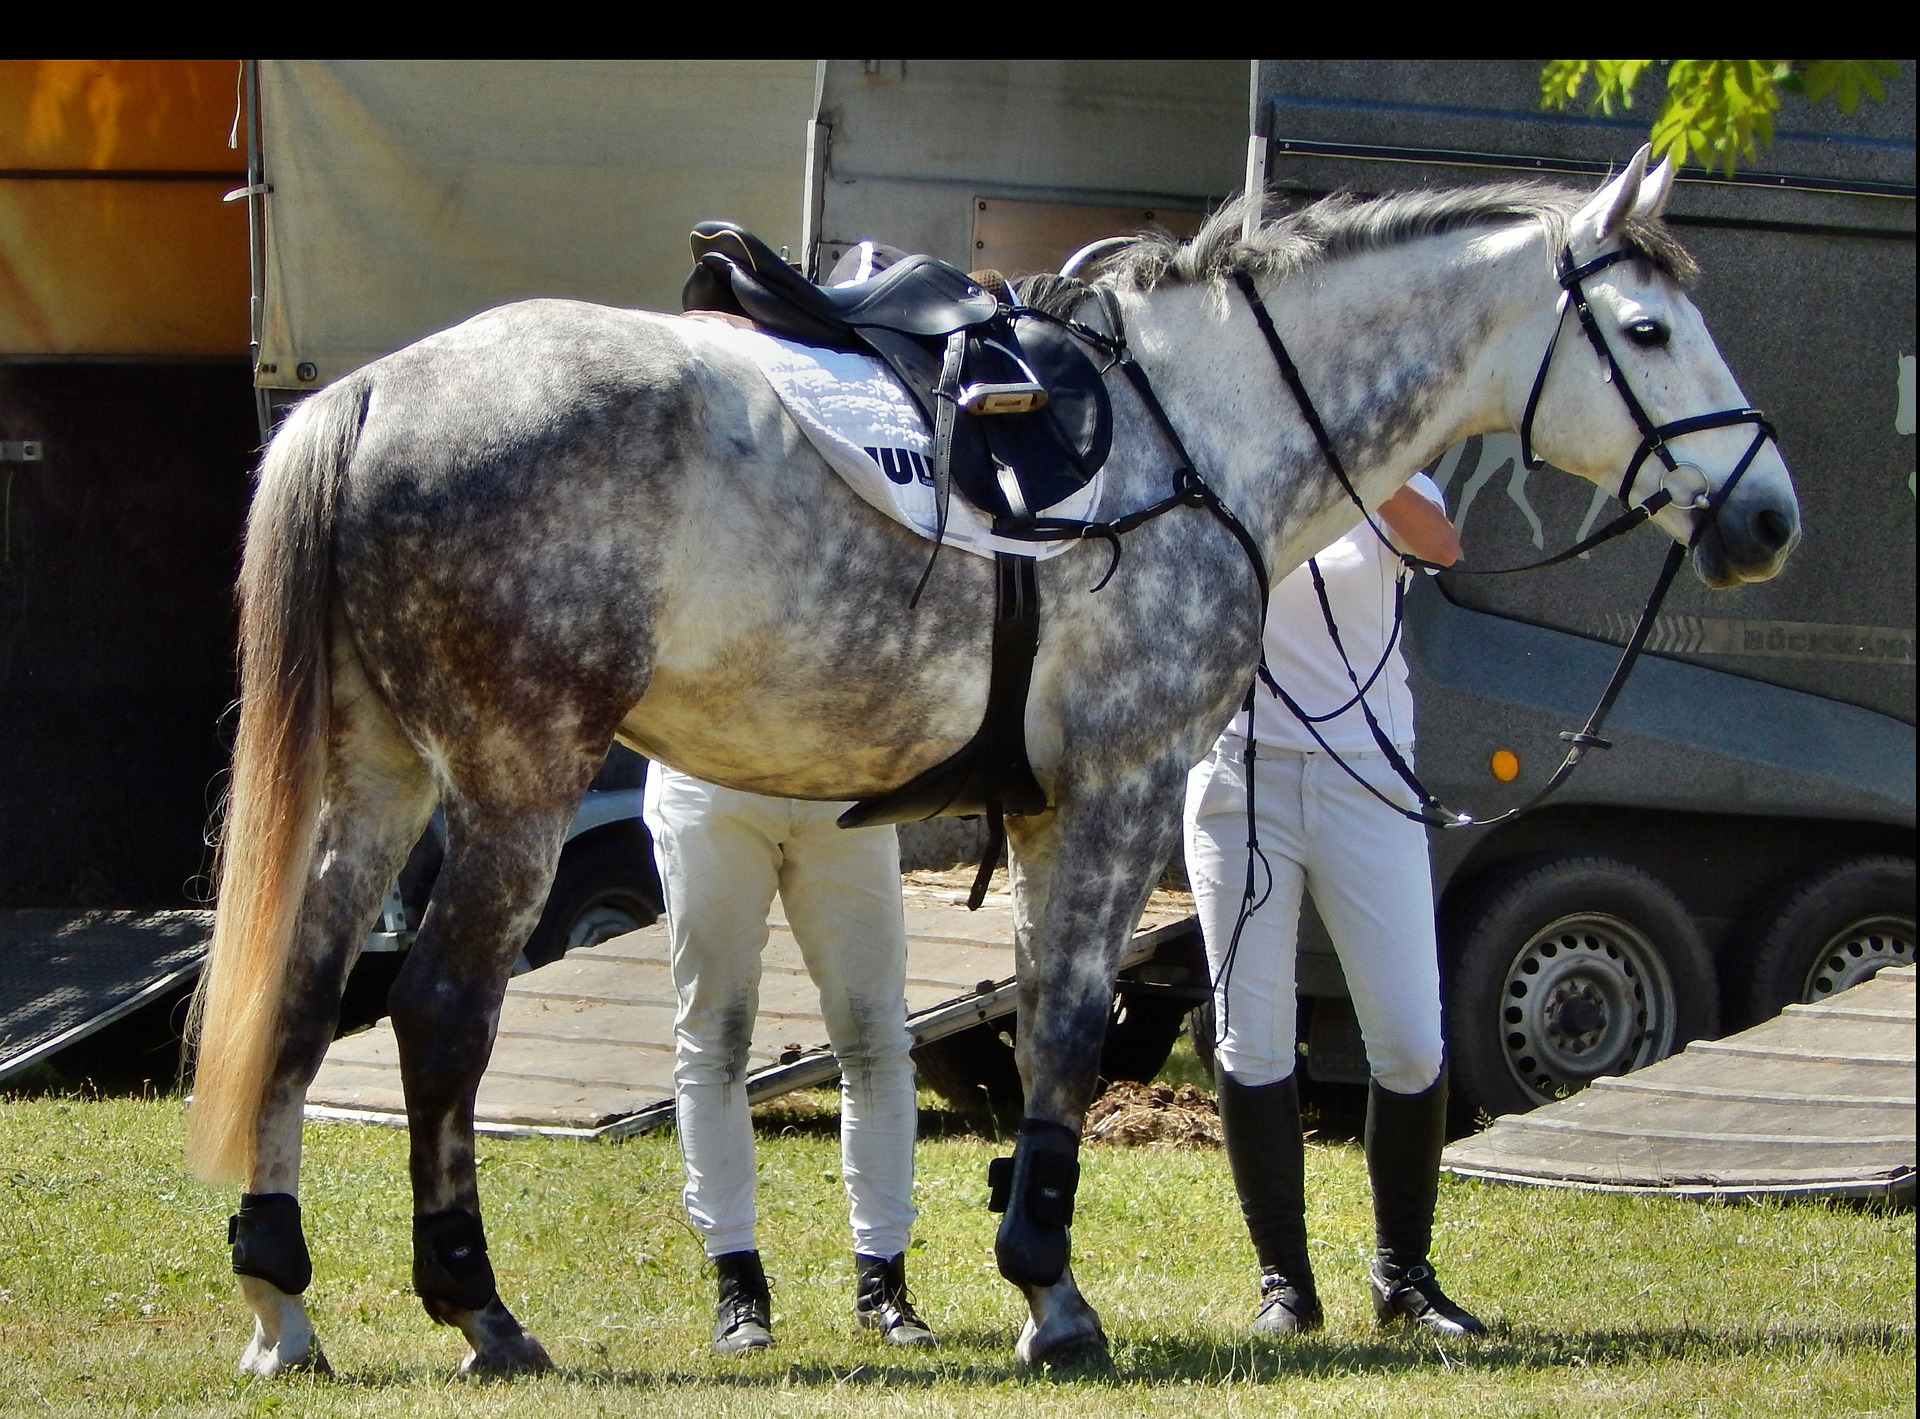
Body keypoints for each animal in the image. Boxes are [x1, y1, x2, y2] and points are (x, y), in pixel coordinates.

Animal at [187, 147, 1798, 1375]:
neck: (1201, 429)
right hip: (511, 785)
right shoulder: (1118, 796)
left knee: (303, 996)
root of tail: (376, 392)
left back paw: (282, 1300)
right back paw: (479, 1309)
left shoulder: (1041, 820)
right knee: (439, 1015)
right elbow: (1072, 1030)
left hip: (379, 779)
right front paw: (1053, 1292)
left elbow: (1036, 1027)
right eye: (1646, 331)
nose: (1768, 514)